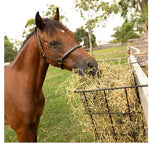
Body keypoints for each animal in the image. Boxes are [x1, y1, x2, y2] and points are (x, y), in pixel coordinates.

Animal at [4, 8, 98, 142]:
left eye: (72, 35)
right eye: (53, 43)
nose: (92, 65)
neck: (20, 86)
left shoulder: (35, 124)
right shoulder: (22, 130)